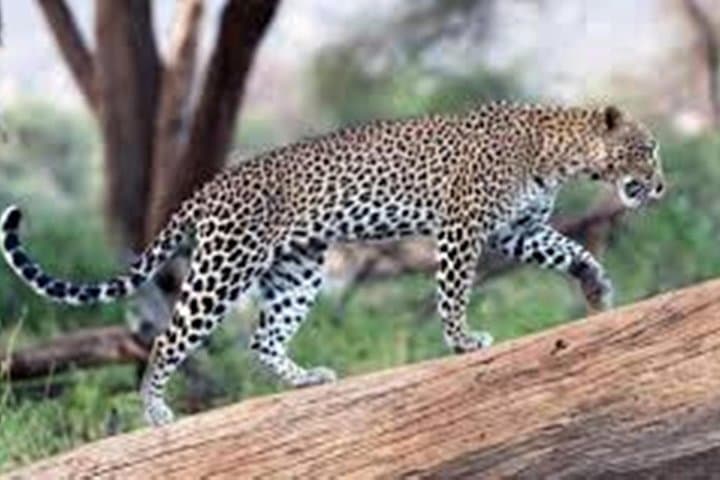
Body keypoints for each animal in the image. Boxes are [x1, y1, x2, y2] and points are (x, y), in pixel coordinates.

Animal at [0, 102, 665, 426]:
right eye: (647, 148)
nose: (660, 186)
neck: (560, 151)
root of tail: (212, 185)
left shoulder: (516, 230)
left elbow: (572, 250)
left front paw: (597, 287)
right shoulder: (464, 227)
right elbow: (452, 291)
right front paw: (463, 342)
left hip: (297, 269)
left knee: (262, 340)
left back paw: (306, 380)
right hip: (225, 265)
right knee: (167, 337)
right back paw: (155, 410)